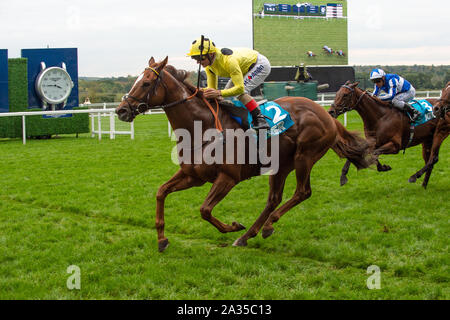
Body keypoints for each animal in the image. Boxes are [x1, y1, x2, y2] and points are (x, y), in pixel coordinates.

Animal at [115, 58, 372, 252]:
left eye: (146, 83)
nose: (121, 110)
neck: (202, 128)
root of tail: (326, 114)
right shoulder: (193, 176)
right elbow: (161, 192)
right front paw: (161, 239)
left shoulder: (228, 178)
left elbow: (205, 210)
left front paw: (233, 226)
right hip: (281, 165)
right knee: (274, 198)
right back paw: (248, 235)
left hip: (304, 157)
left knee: (302, 192)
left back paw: (265, 227)